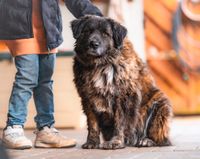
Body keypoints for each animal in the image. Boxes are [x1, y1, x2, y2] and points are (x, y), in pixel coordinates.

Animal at [71, 15, 173, 150]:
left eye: (105, 34)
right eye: (87, 31)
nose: (93, 44)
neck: (100, 65)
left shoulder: (124, 98)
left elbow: (120, 122)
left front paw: (116, 142)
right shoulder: (88, 98)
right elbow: (93, 124)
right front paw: (92, 142)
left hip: (160, 105)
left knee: (161, 138)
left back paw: (146, 140)